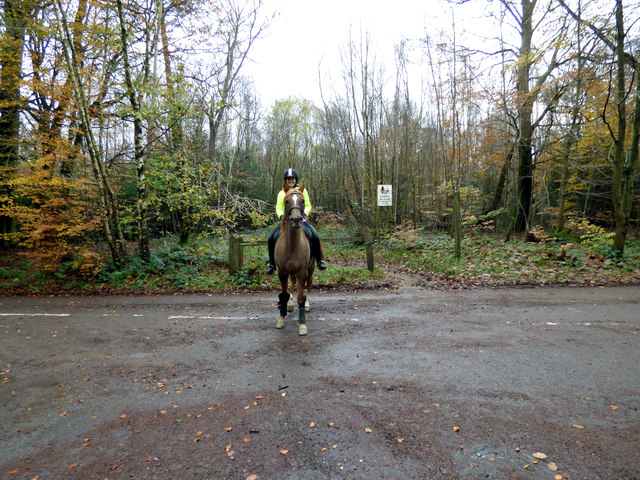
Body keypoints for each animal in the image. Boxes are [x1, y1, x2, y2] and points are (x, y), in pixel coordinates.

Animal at [276, 186, 316, 336]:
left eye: (303, 201)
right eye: (286, 201)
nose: (296, 219)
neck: (292, 244)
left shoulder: (302, 271)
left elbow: (301, 297)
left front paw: (302, 325)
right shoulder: (282, 271)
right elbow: (283, 295)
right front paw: (281, 319)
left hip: (311, 269)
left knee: (308, 284)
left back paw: (307, 305)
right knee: (293, 283)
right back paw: (290, 305)